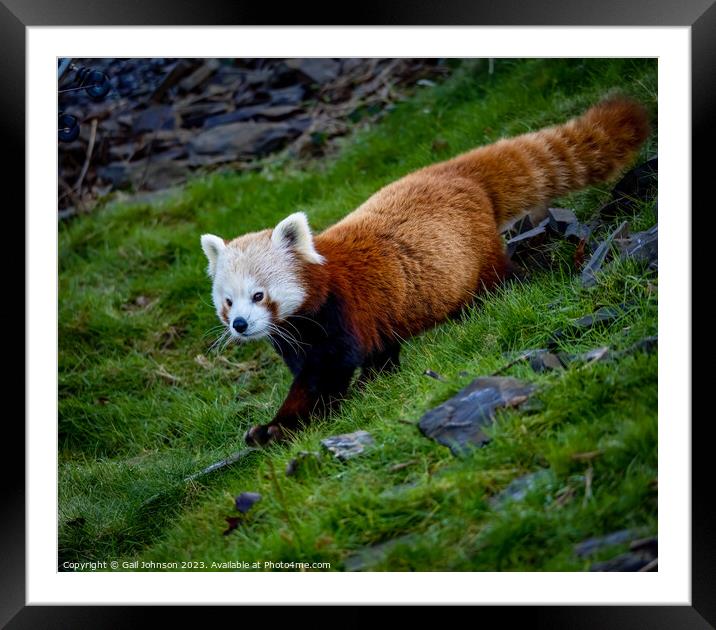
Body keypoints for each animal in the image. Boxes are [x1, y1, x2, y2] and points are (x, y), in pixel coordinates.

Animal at [200, 96, 648, 446]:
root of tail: (452, 171)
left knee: (504, 280)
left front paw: (280, 427)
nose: (240, 325)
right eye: (228, 303)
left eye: (259, 295)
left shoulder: (339, 315)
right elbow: (360, 358)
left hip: (478, 257)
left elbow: (325, 377)